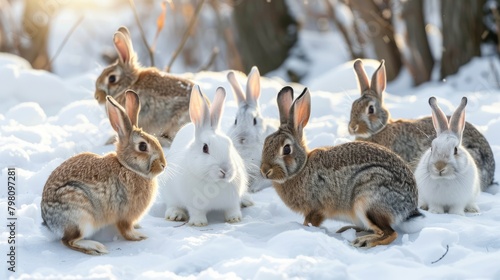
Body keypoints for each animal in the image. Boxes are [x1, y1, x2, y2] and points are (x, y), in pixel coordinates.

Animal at [40, 91, 165, 255]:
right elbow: (126, 230)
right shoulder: (125, 213)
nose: (163, 165)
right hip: (81, 216)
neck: (127, 167)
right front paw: (139, 236)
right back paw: (95, 247)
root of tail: (49, 224)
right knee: (68, 241)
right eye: (143, 146)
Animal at [161, 85, 254, 225]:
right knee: (172, 204)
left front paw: (235, 219)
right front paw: (199, 223)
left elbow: (232, 209)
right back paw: (175, 214)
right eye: (205, 148)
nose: (225, 170)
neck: (214, 182)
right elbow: (196, 212)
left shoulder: (232, 202)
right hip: (169, 192)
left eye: (230, 144)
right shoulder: (193, 204)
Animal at [262, 87, 422, 247]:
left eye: (286, 149)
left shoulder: (316, 209)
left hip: (367, 200)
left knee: (390, 233)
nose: (265, 171)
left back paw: (364, 241)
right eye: (266, 142)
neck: (301, 168)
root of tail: (410, 205)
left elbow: (310, 221)